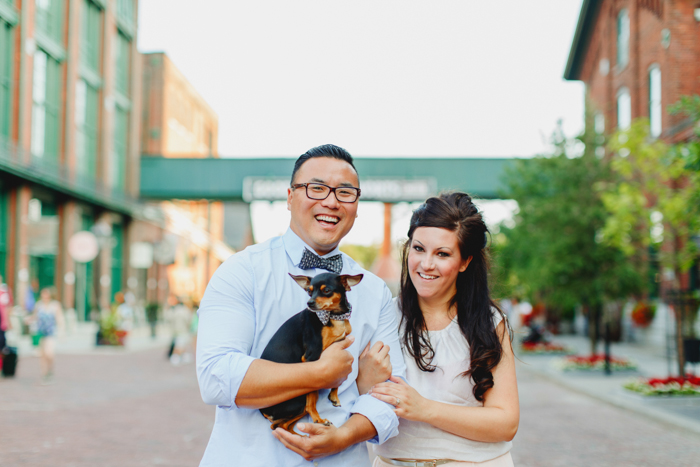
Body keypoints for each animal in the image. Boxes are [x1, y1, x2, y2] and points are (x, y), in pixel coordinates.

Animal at [260, 272, 364, 434]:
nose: (309, 303)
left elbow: (337, 380)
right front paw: (318, 419)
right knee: (287, 419)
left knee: (280, 426)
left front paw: (334, 397)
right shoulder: (312, 358)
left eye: (326, 290)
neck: (334, 317)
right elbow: (313, 398)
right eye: (309, 292)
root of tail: (264, 412)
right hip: (299, 400)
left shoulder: (338, 347)